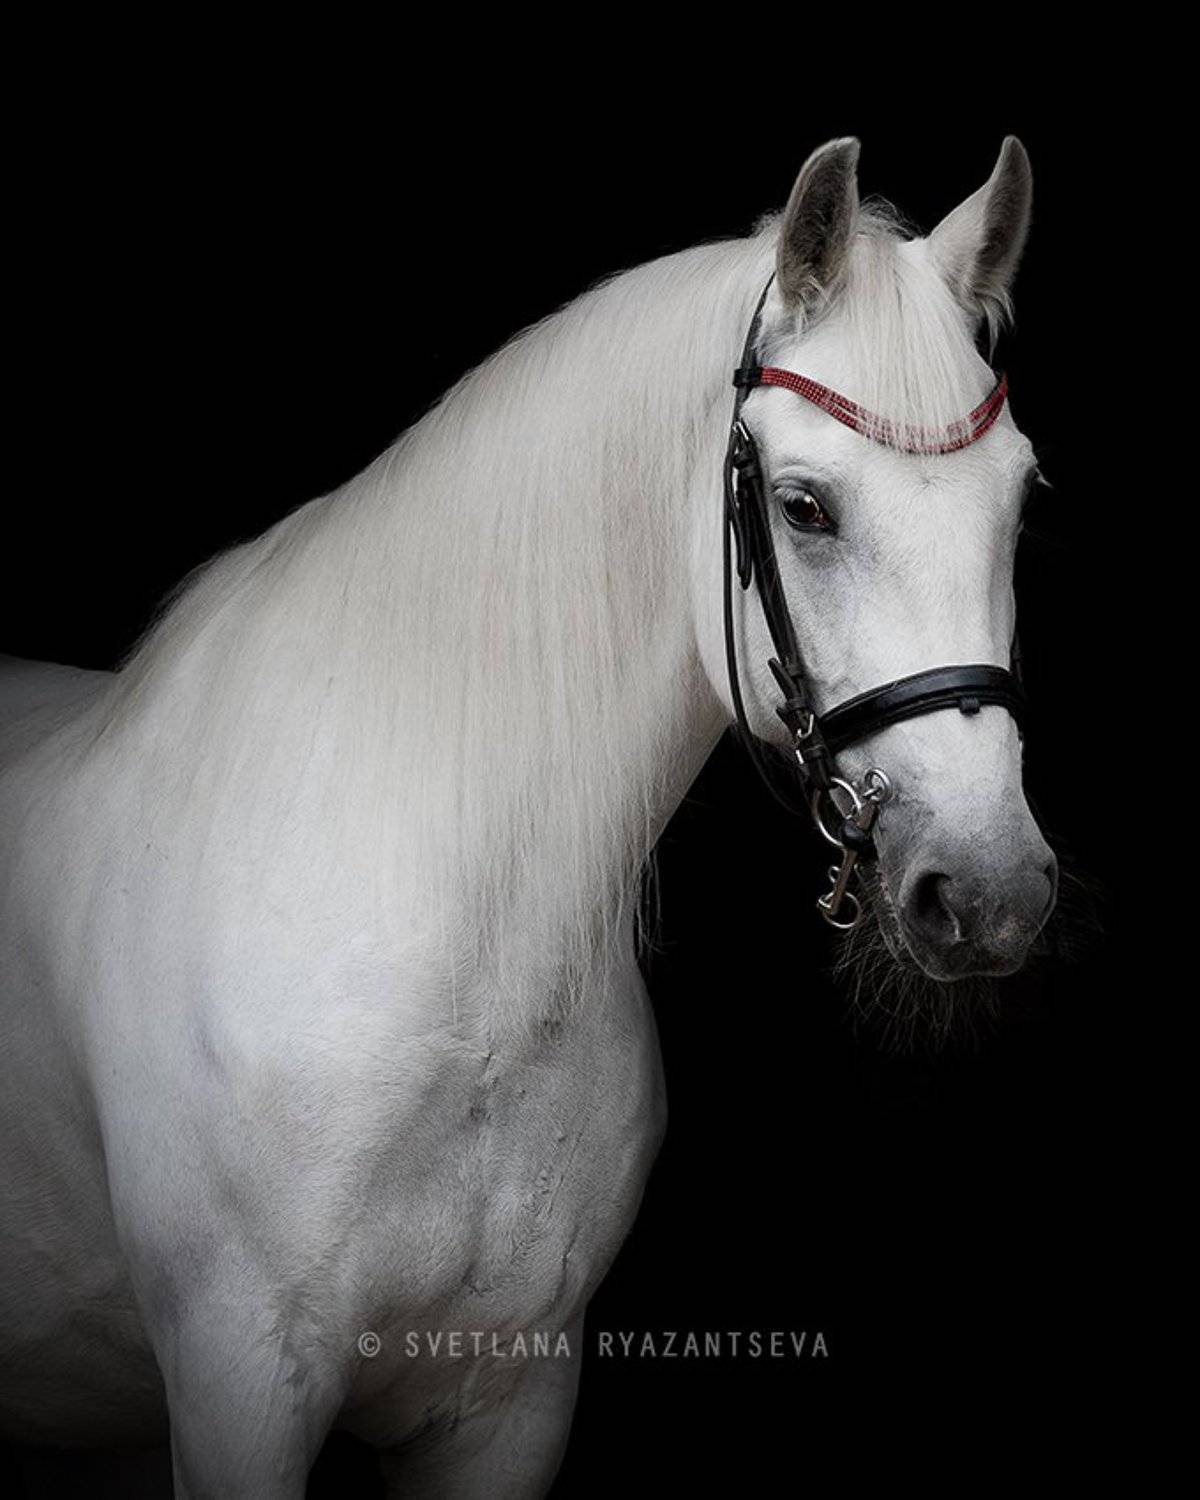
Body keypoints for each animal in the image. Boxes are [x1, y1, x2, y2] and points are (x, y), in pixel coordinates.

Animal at [0, 136, 1056, 1497]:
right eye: (805, 507)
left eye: (1020, 501)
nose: (990, 893)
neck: (470, 977)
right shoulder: (238, 1388)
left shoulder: (511, 1402)